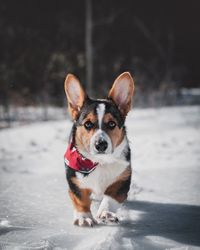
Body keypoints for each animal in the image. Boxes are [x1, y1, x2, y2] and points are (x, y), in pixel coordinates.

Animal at [63, 71, 134, 226]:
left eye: (112, 124)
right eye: (88, 124)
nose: (101, 144)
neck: (99, 162)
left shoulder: (123, 179)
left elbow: (111, 197)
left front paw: (105, 213)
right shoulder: (75, 180)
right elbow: (81, 200)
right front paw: (84, 217)